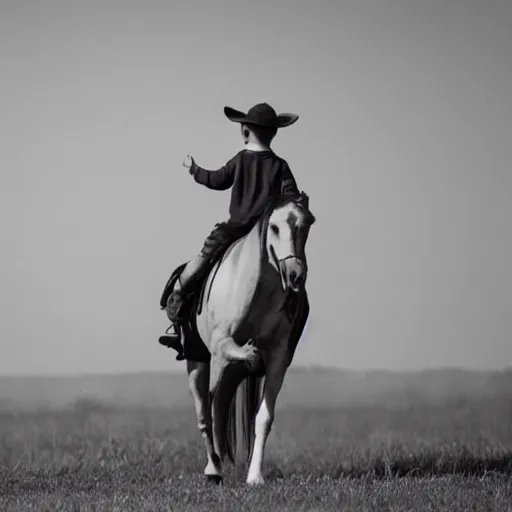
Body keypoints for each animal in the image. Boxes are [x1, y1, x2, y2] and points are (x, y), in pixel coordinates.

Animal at [164, 191, 316, 484]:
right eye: (275, 227)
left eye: (306, 226)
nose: (295, 275)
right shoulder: (221, 347)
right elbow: (215, 410)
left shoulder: (278, 359)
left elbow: (263, 418)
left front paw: (255, 477)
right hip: (197, 364)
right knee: (206, 414)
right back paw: (213, 468)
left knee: (220, 408)